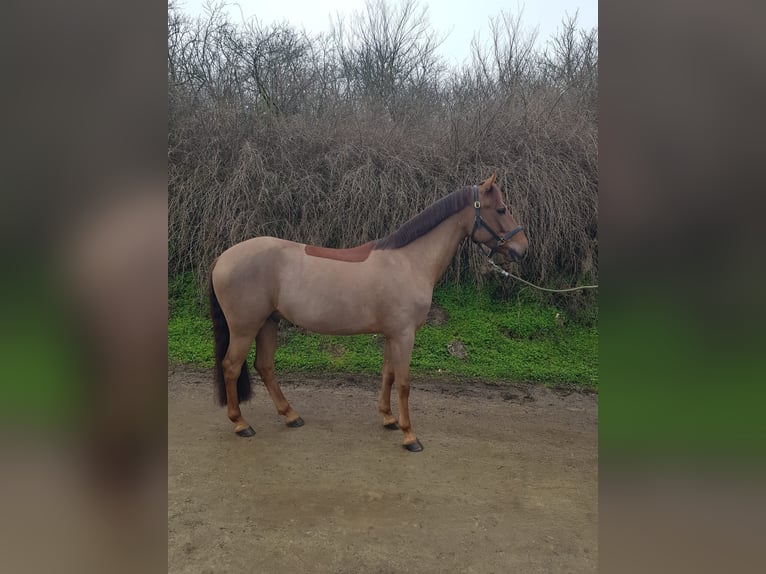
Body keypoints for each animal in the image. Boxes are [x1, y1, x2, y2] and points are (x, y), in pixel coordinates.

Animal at [208, 172, 528, 452]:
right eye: (501, 209)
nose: (522, 248)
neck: (409, 261)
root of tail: (223, 258)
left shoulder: (391, 334)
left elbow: (387, 374)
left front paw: (388, 419)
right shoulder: (404, 335)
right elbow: (404, 383)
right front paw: (410, 436)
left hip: (268, 323)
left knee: (265, 366)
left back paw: (290, 415)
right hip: (245, 328)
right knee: (231, 367)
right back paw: (241, 424)